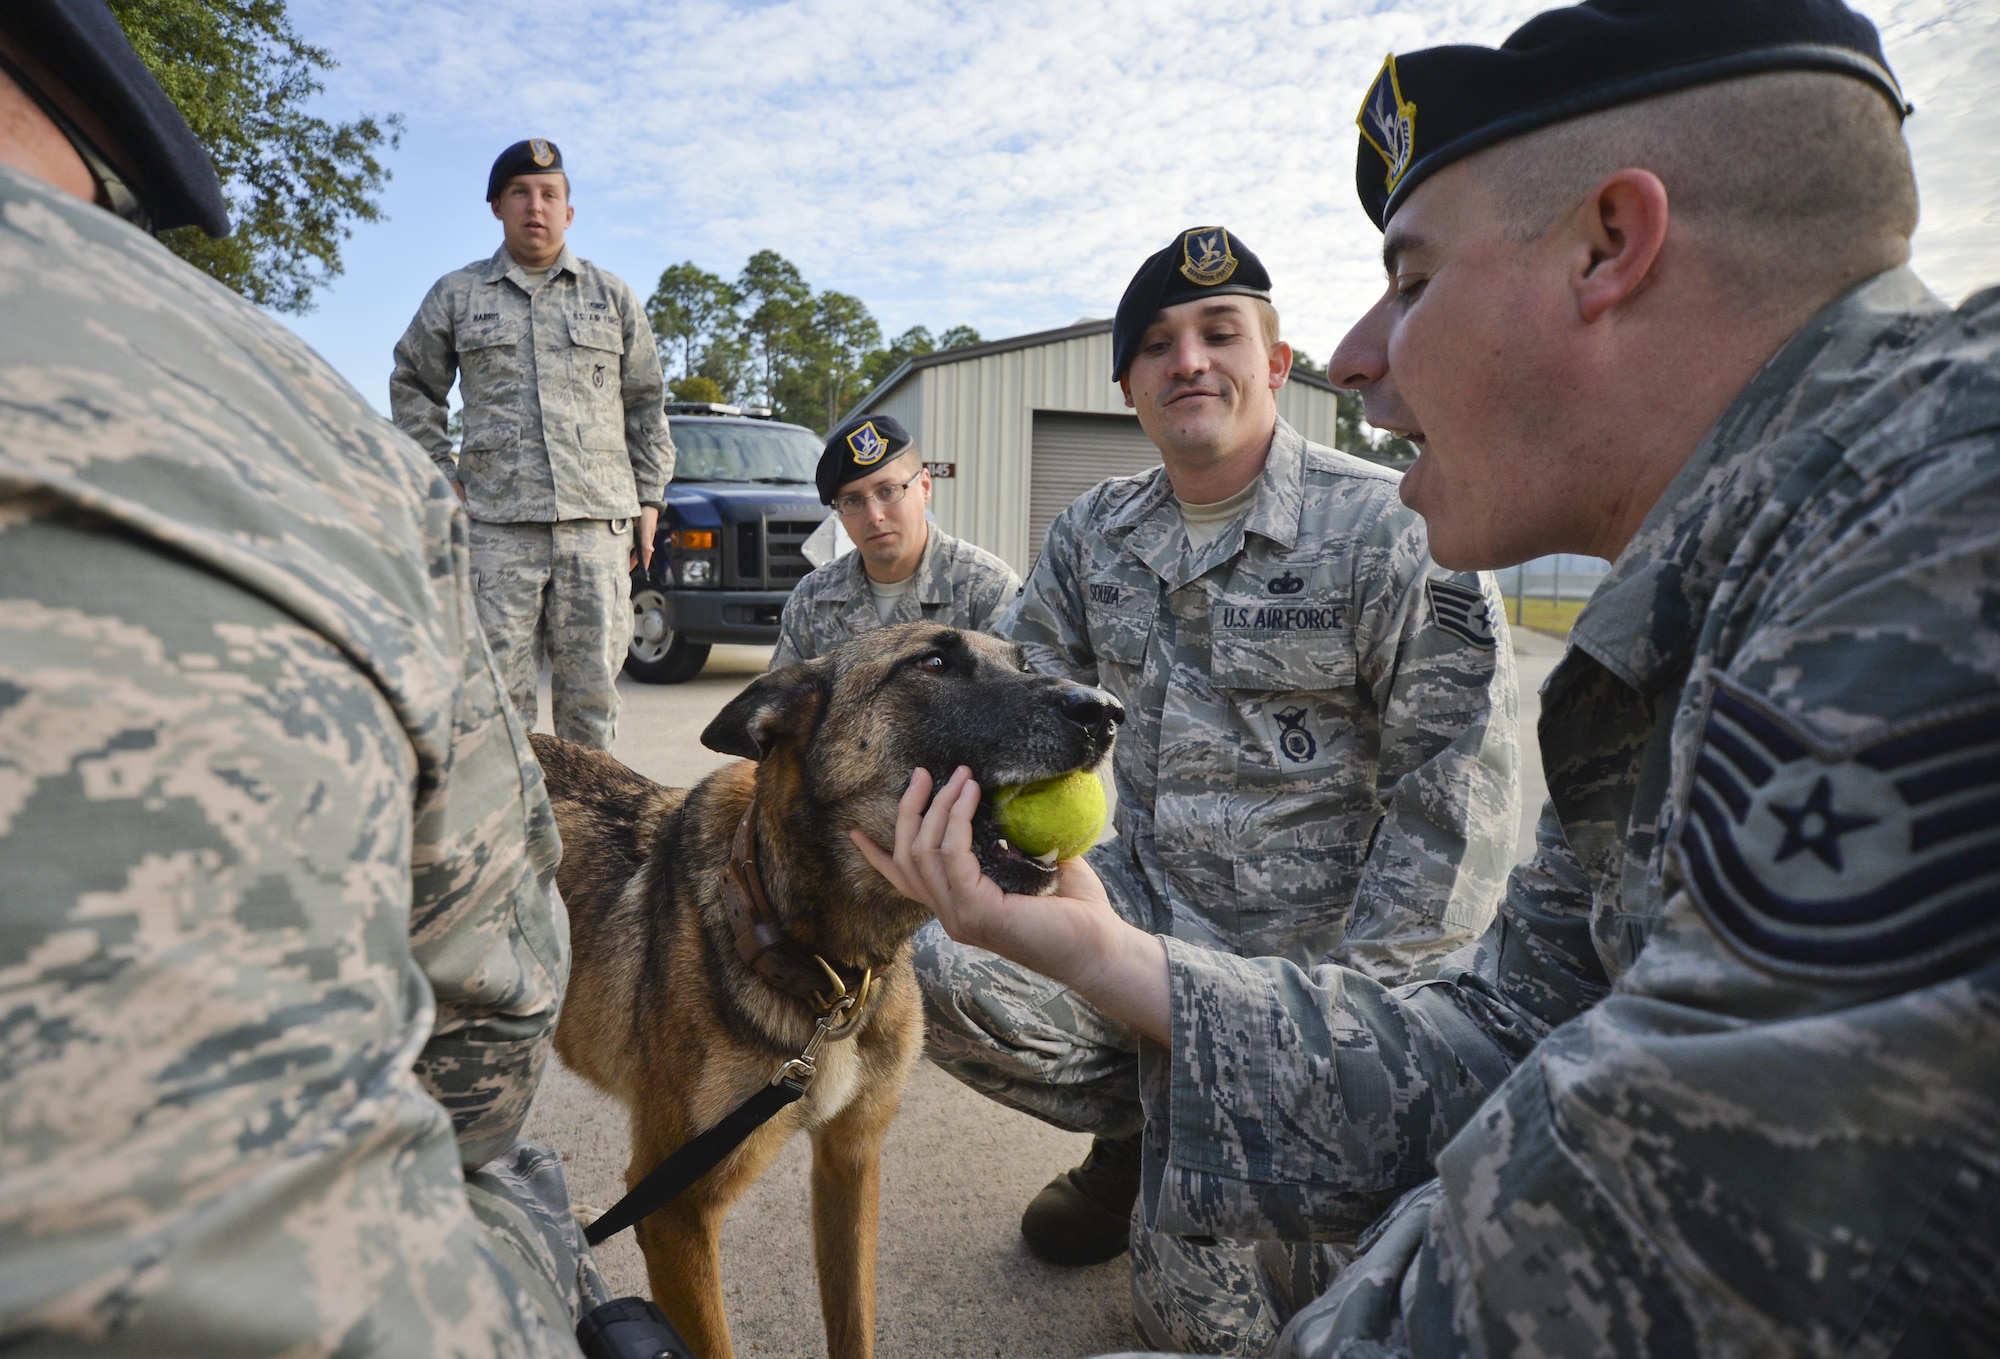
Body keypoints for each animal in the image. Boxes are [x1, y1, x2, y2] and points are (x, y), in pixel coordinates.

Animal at [532, 623, 1120, 1359]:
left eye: (1023, 663)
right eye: (934, 662)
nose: (1107, 712)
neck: (824, 966)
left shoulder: (852, 1159)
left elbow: (853, 1320)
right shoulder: (675, 1211)